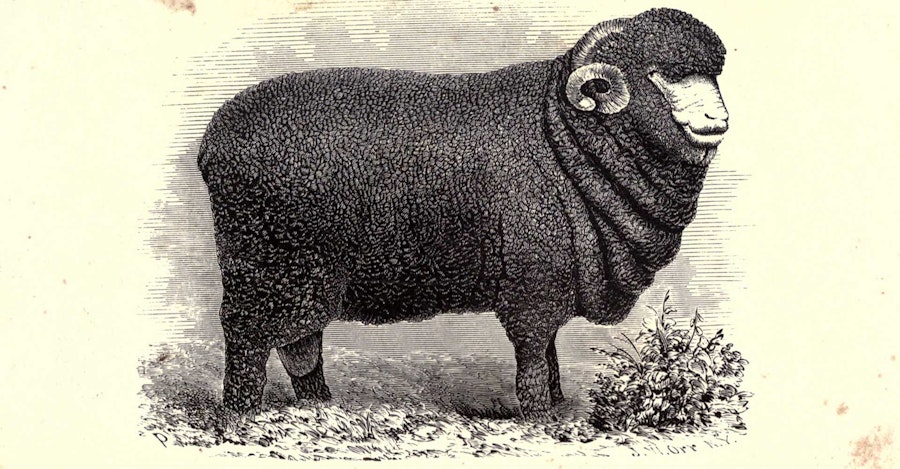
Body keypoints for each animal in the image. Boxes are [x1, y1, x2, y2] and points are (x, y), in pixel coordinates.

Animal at [198, 7, 730, 420]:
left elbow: (552, 352)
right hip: (267, 268)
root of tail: (210, 144)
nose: (718, 120)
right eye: (666, 74)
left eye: (713, 76)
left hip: (302, 280)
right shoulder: (531, 286)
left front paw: (557, 404)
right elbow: (534, 353)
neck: (566, 136)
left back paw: (320, 406)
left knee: (300, 345)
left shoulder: (553, 280)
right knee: (246, 337)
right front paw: (538, 415)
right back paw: (241, 412)